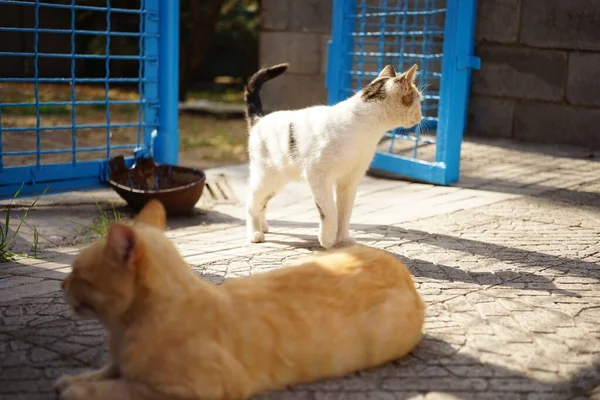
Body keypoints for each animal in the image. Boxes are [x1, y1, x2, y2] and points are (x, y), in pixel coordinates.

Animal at [55, 200, 422, 400]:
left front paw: (77, 391)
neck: (120, 331)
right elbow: (106, 372)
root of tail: (399, 267)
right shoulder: (119, 363)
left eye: (76, 272)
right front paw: (75, 380)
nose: (61, 283)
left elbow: (125, 389)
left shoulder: (199, 387)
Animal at [244, 63, 422, 248]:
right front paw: (328, 239)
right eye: (419, 100)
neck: (363, 125)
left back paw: (263, 226)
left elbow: (344, 212)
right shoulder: (318, 176)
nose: (421, 115)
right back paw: (255, 232)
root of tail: (259, 120)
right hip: (266, 177)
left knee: (262, 203)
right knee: (251, 202)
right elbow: (328, 210)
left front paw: (343, 239)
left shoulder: (349, 180)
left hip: (277, 181)